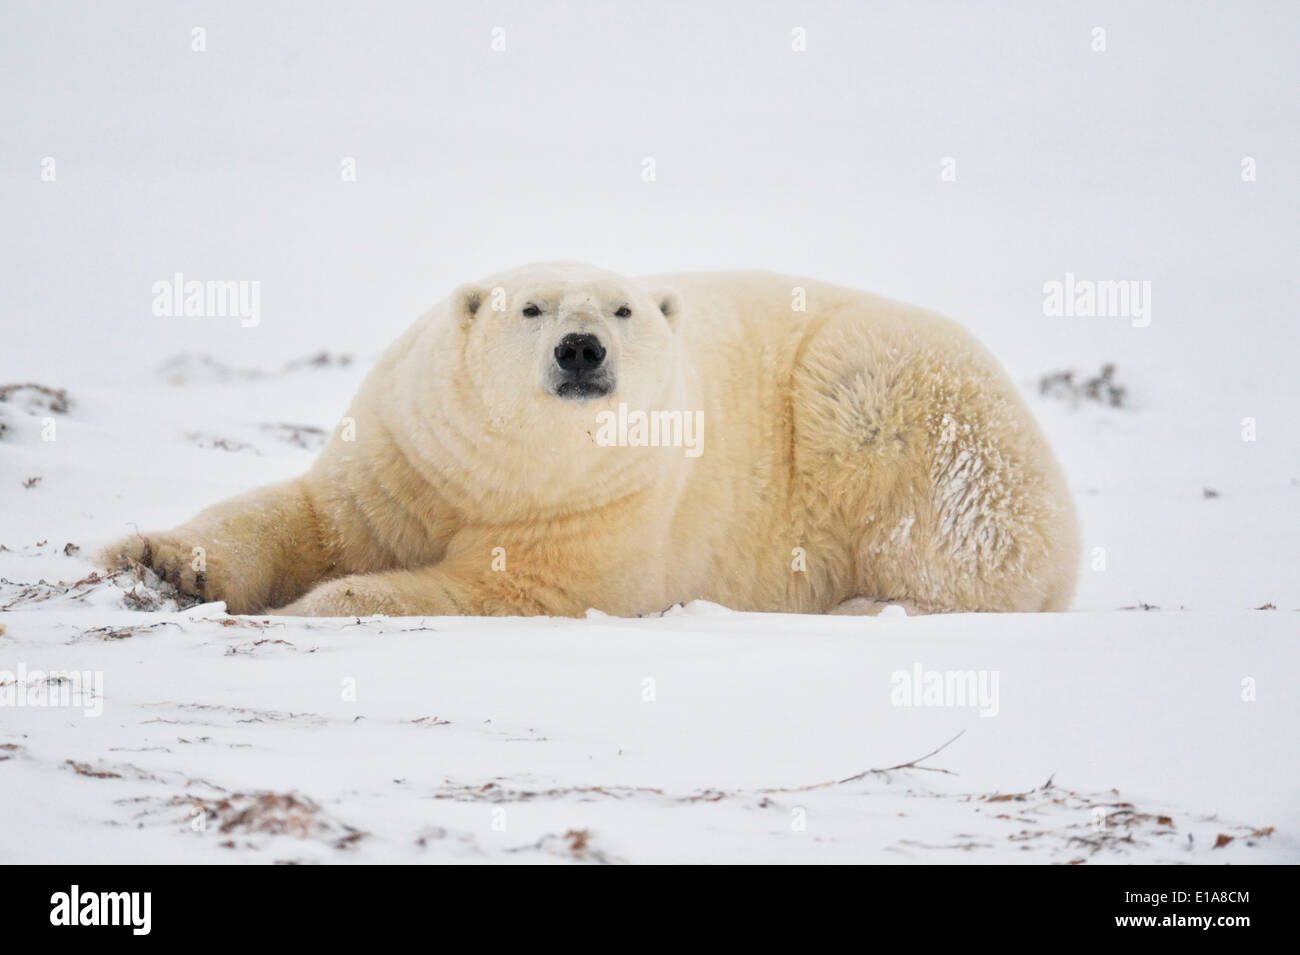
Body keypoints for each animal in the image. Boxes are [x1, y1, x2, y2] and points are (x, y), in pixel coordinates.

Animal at [98, 265, 1076, 615]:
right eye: (530, 308)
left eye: (622, 309)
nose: (581, 348)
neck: (512, 471)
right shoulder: (410, 453)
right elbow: (312, 515)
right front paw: (157, 559)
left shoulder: (608, 506)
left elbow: (499, 588)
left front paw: (318, 605)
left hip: (896, 398)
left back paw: (867, 605)